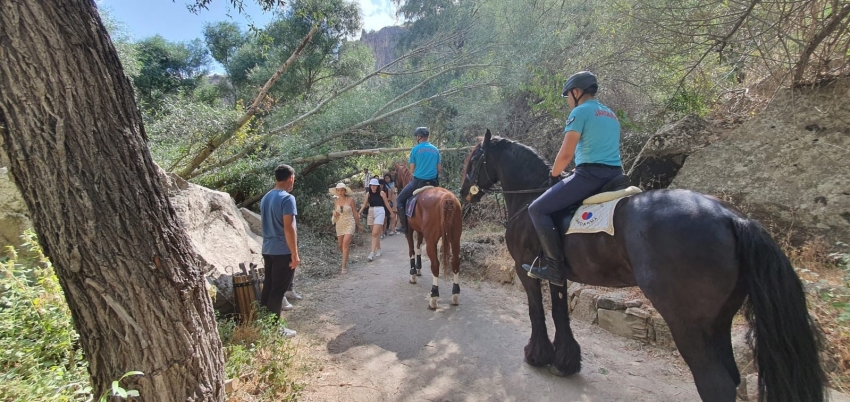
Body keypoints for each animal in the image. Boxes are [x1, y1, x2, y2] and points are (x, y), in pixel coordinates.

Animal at [460, 130, 824, 400]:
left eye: (474, 159)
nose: (464, 193)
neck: (531, 197)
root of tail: (733, 218)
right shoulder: (557, 274)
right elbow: (561, 312)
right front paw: (565, 362)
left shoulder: (525, 269)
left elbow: (537, 310)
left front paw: (537, 356)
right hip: (718, 321)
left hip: (687, 322)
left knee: (715, 383)